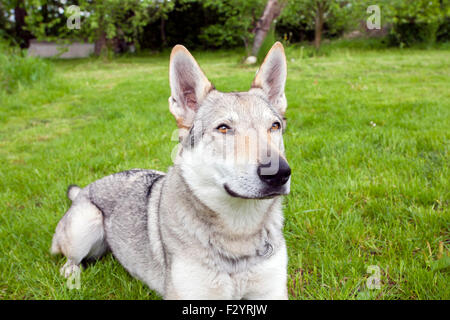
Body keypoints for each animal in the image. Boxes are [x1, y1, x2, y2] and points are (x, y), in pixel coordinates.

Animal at [51, 41, 292, 298]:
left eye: (274, 126)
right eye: (224, 128)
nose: (279, 173)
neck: (240, 232)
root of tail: (85, 188)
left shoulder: (272, 292)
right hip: (86, 225)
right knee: (69, 262)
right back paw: (72, 274)